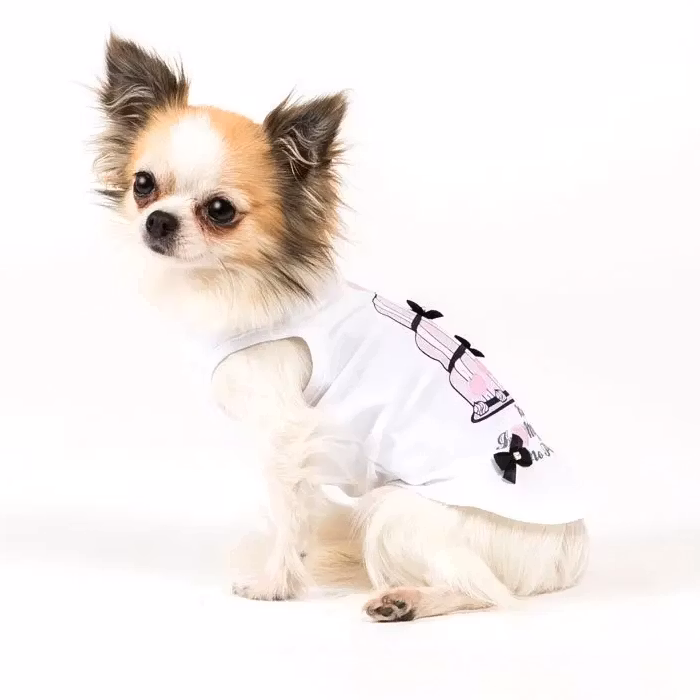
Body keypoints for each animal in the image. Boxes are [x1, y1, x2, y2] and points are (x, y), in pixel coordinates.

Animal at [94, 35, 588, 622]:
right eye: (143, 185)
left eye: (220, 210)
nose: (158, 220)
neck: (237, 282)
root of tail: (566, 555)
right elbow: (300, 508)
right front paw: (300, 560)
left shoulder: (285, 431)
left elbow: (286, 509)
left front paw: (277, 583)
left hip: (398, 512)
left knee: (483, 590)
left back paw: (403, 601)